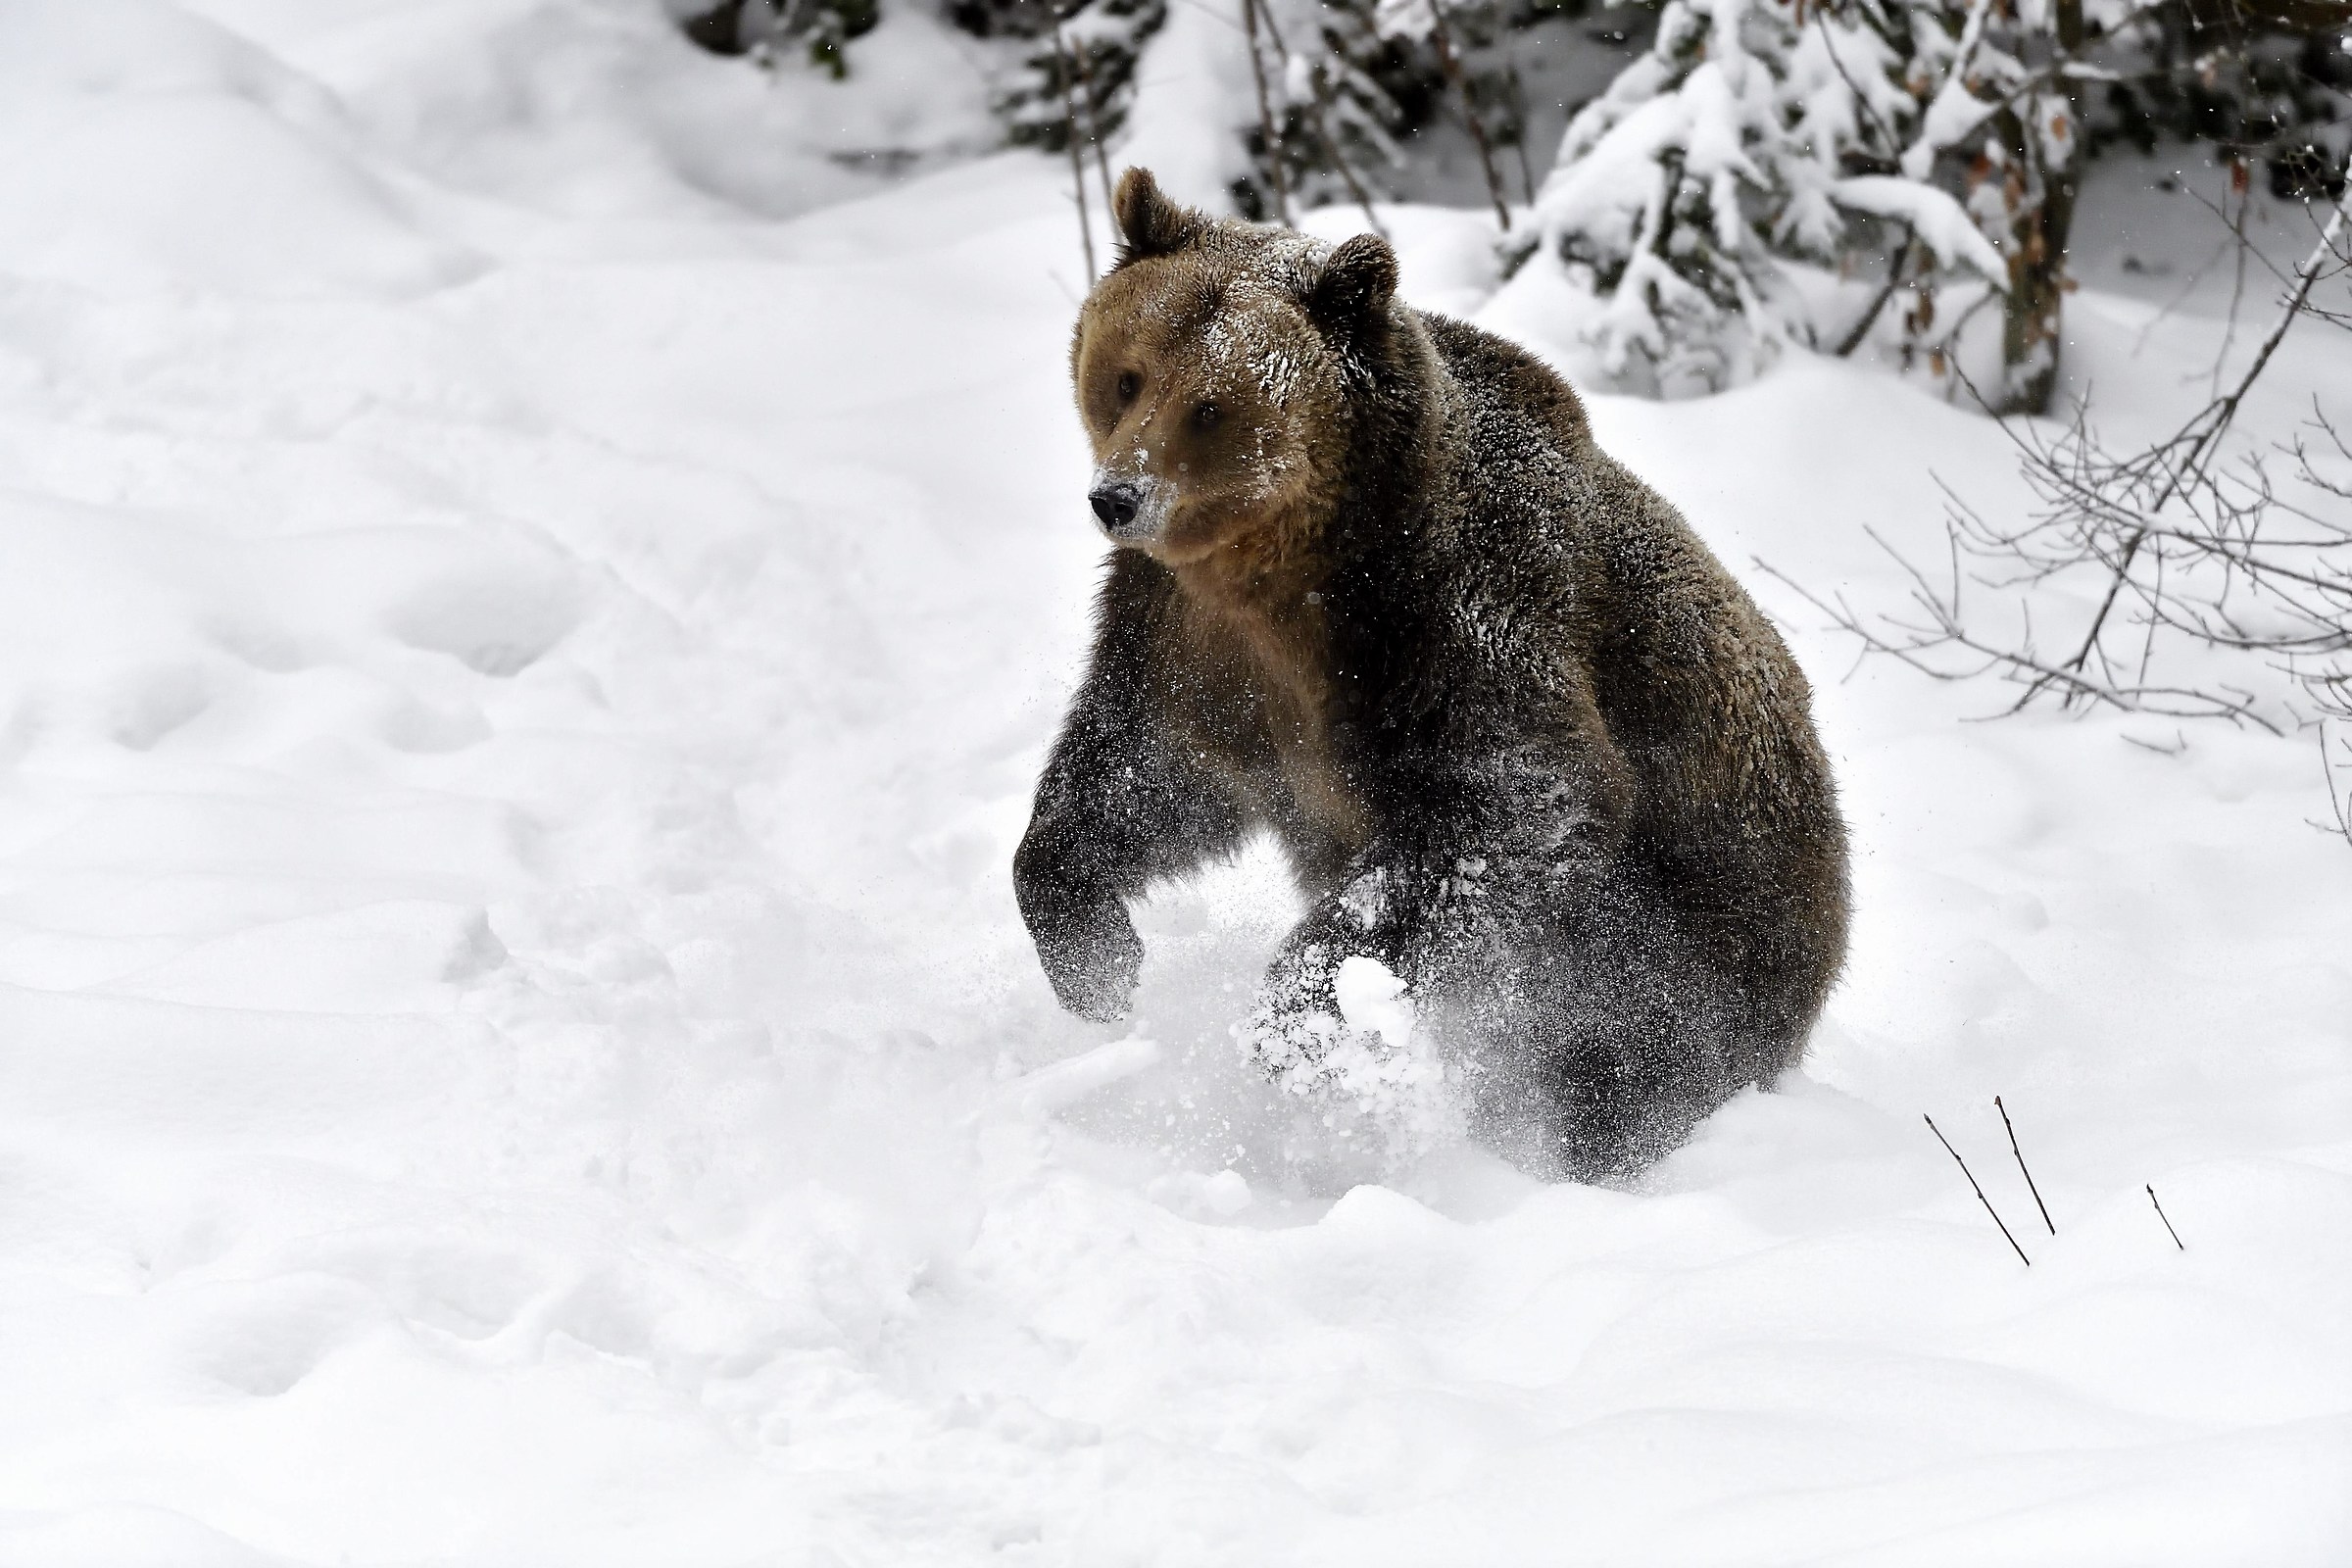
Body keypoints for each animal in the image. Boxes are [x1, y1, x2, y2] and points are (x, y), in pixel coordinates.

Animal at [1013, 169, 1850, 1180]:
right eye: (1127, 375)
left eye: (1212, 406)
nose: (1119, 497)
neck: (1294, 569)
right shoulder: (1195, 643)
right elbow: (1143, 774)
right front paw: (1098, 962)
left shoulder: (1455, 616)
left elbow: (1510, 805)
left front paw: (1298, 1022)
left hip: (1691, 935)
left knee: (1630, 1051)